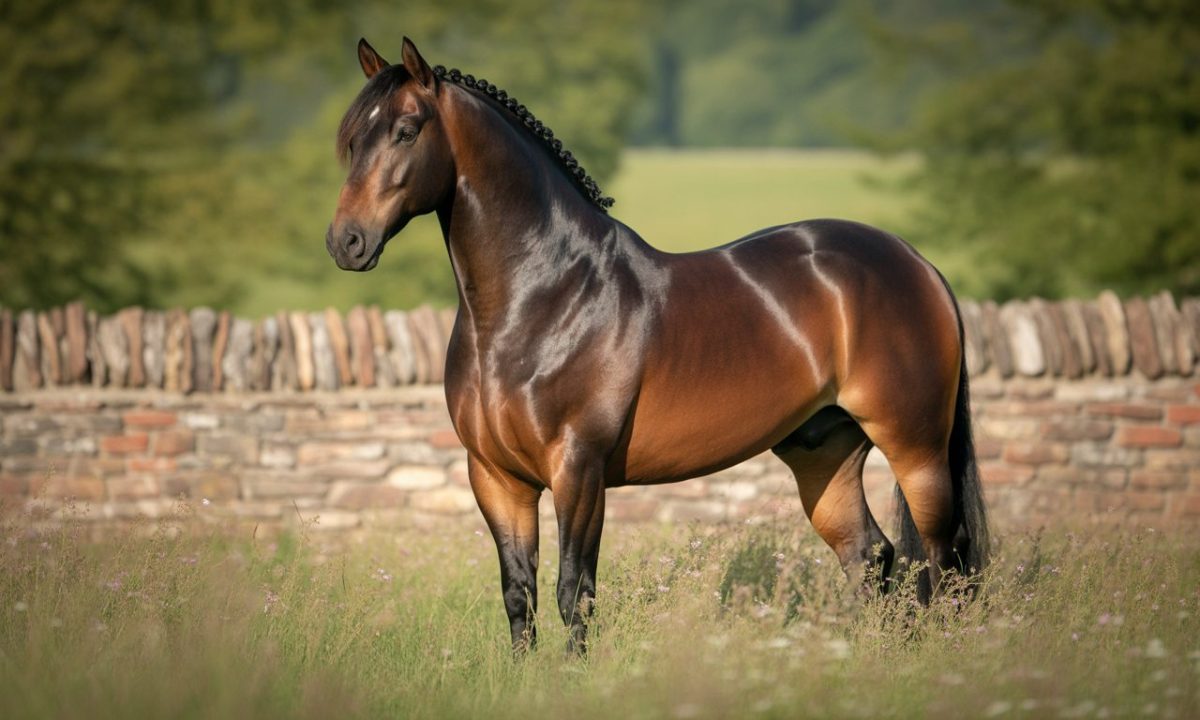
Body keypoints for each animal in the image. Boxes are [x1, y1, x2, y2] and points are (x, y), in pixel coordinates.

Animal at [327, 38, 989, 653]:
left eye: (406, 130)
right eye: (353, 140)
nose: (346, 243)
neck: (539, 300)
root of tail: (917, 262)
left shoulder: (579, 469)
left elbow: (575, 593)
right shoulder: (494, 476)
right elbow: (520, 595)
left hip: (914, 445)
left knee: (942, 557)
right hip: (824, 454)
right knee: (871, 556)